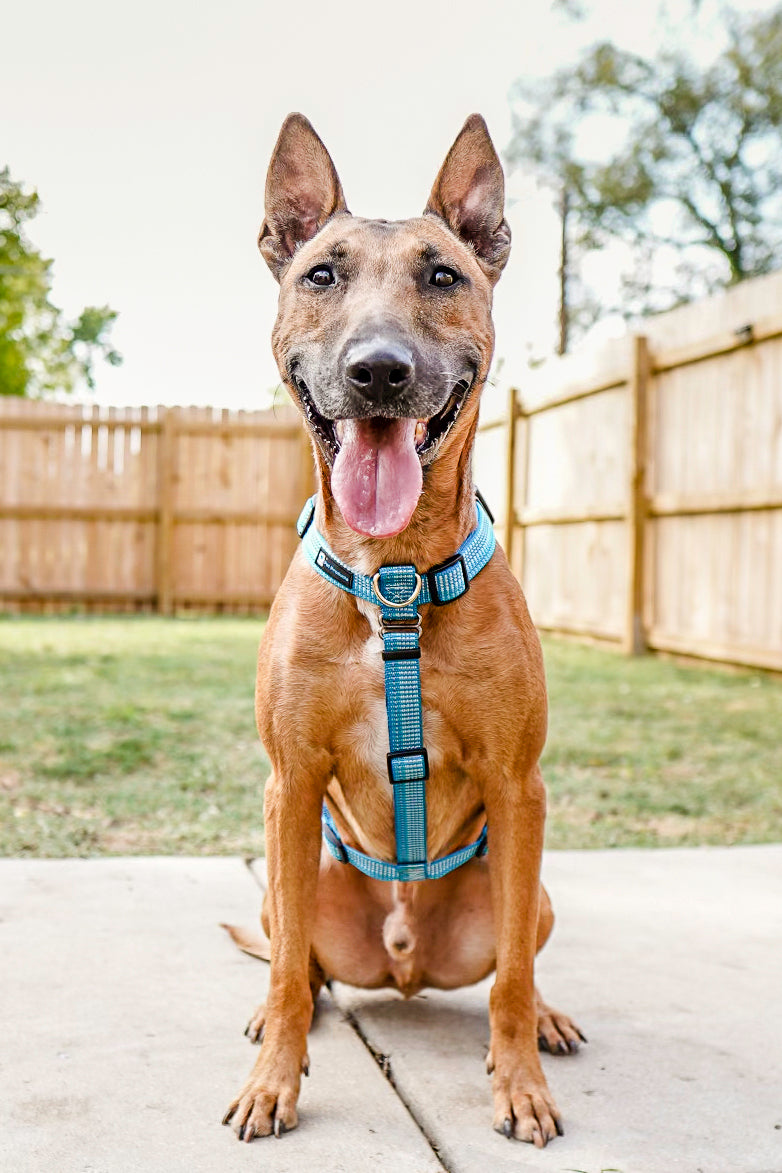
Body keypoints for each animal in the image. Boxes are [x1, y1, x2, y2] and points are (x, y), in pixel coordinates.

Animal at [222, 116, 583, 1144]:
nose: (377, 370)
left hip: (531, 884)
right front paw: (275, 1079)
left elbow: (511, 976)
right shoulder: (291, 784)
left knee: (516, 957)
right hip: (292, 878)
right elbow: (290, 978)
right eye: (321, 274)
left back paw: (547, 1018)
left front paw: (518, 1081)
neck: (396, 580)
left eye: (443, 275)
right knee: (295, 959)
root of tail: (403, 956)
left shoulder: (519, 786)